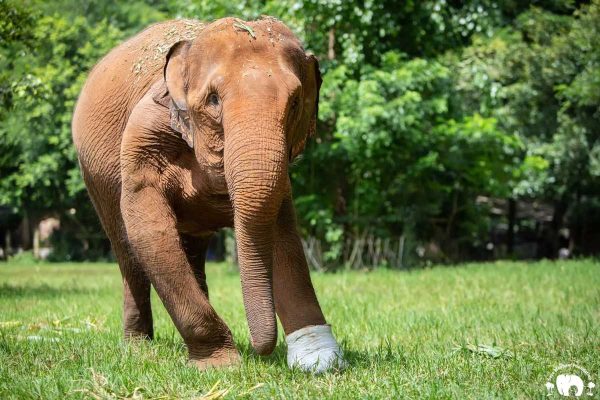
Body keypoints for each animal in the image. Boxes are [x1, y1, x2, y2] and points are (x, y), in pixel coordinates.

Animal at [71, 16, 344, 372]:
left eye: (296, 102)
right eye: (213, 99)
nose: (262, 350)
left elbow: (282, 228)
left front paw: (320, 360)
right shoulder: (143, 136)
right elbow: (148, 227)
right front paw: (222, 365)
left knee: (191, 248)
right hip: (95, 178)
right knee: (127, 250)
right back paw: (137, 347)